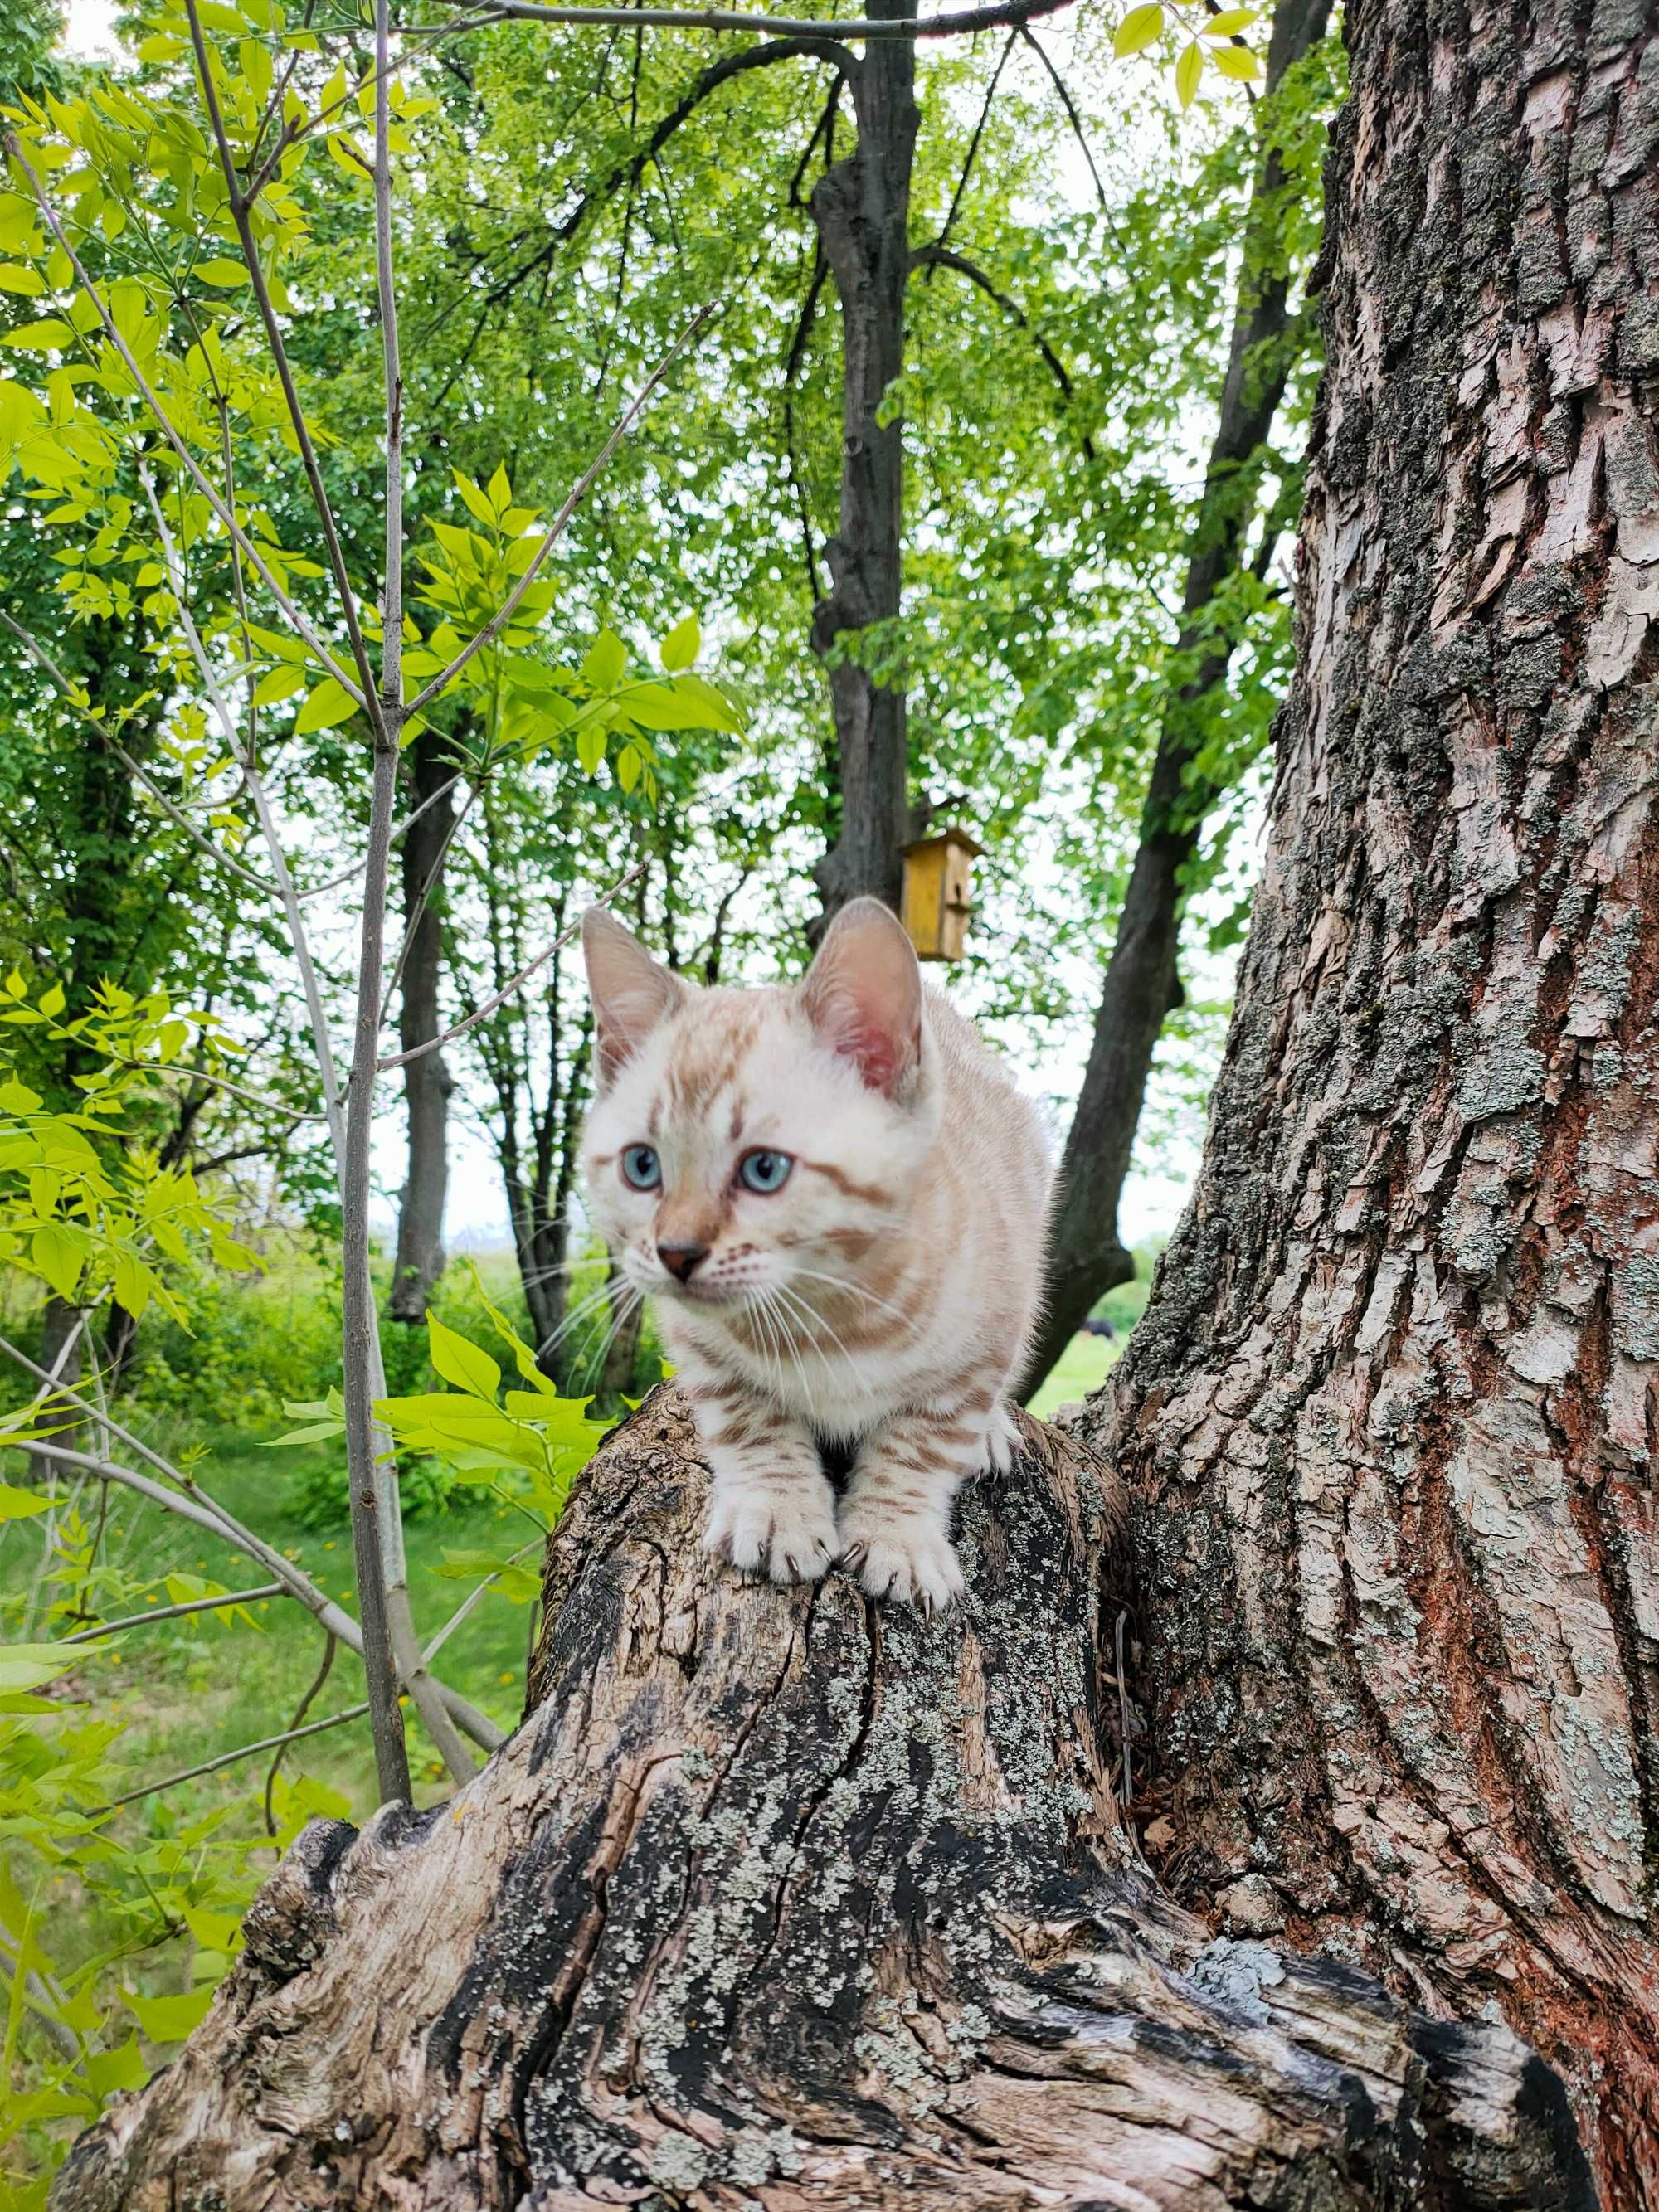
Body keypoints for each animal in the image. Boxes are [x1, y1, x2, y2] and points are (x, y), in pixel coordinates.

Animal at [579, 893, 1053, 1610]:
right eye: (642, 1165)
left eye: (764, 1169)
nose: (676, 1252)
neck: (825, 1313)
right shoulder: (700, 1344)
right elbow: (750, 1419)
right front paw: (777, 1511)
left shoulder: (984, 1341)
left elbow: (922, 1442)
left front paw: (897, 1536)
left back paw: (994, 1432)